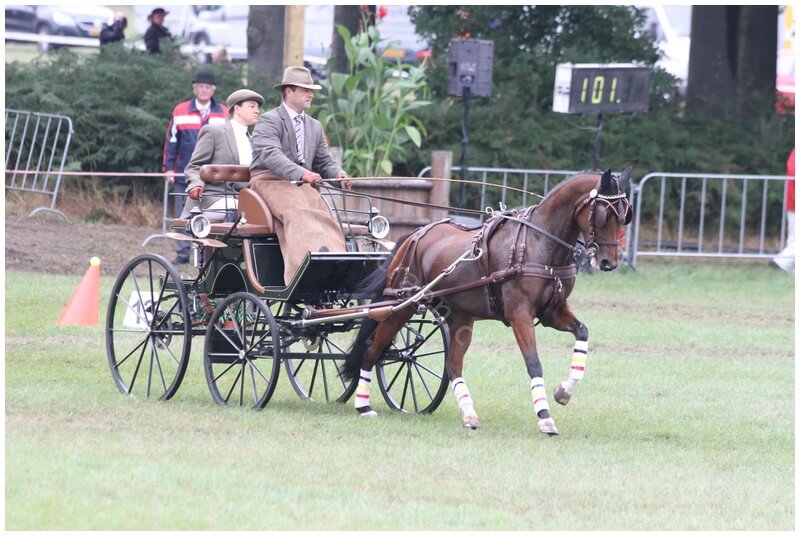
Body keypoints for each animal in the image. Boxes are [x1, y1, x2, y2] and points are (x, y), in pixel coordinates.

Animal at [341, 167, 633, 435]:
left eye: (625, 214)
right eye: (604, 214)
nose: (609, 262)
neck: (539, 243)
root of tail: (413, 236)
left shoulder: (553, 312)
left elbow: (582, 333)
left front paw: (564, 391)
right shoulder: (519, 314)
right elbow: (534, 362)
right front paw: (544, 416)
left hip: (459, 317)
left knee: (453, 364)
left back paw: (468, 413)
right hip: (402, 306)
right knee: (372, 348)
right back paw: (363, 405)